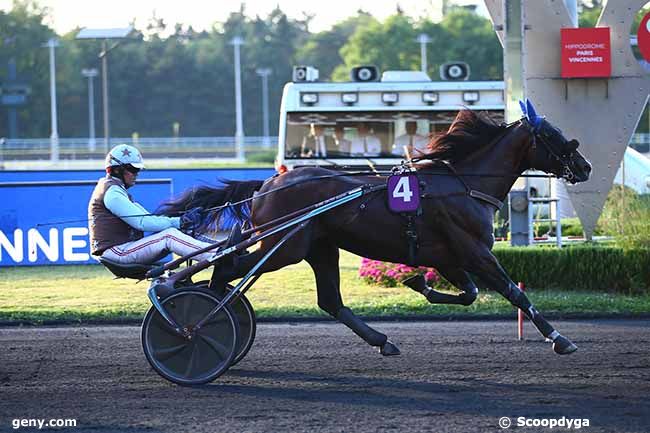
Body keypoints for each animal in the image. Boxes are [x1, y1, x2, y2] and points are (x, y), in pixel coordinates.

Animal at [157, 101, 588, 358]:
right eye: (553, 136)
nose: (585, 167)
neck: (464, 184)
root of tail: (269, 183)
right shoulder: (475, 252)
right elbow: (515, 292)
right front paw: (560, 339)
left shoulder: (448, 256)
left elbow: (468, 294)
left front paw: (418, 284)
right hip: (285, 248)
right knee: (228, 267)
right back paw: (196, 319)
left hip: (320, 248)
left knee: (330, 301)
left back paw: (383, 341)